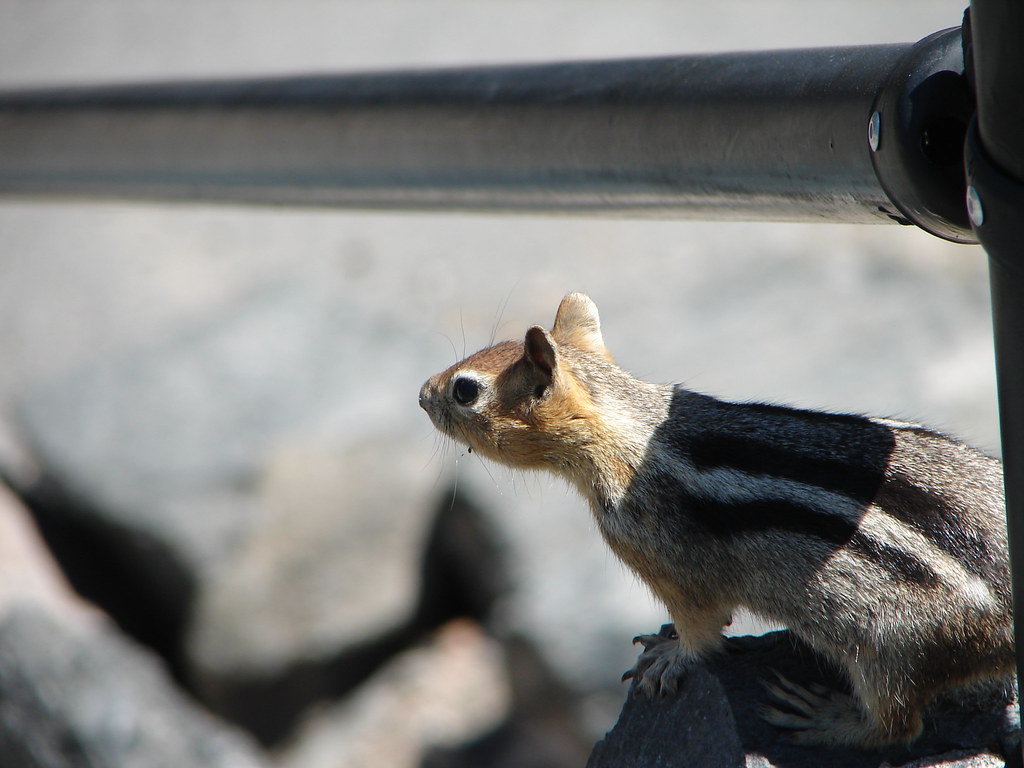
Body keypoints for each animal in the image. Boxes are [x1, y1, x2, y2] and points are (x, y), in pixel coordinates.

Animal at [418, 292, 1014, 749]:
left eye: (465, 390)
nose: (422, 394)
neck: (624, 430)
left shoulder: (674, 571)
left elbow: (700, 628)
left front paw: (669, 657)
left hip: (890, 651)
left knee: (899, 725)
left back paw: (825, 720)